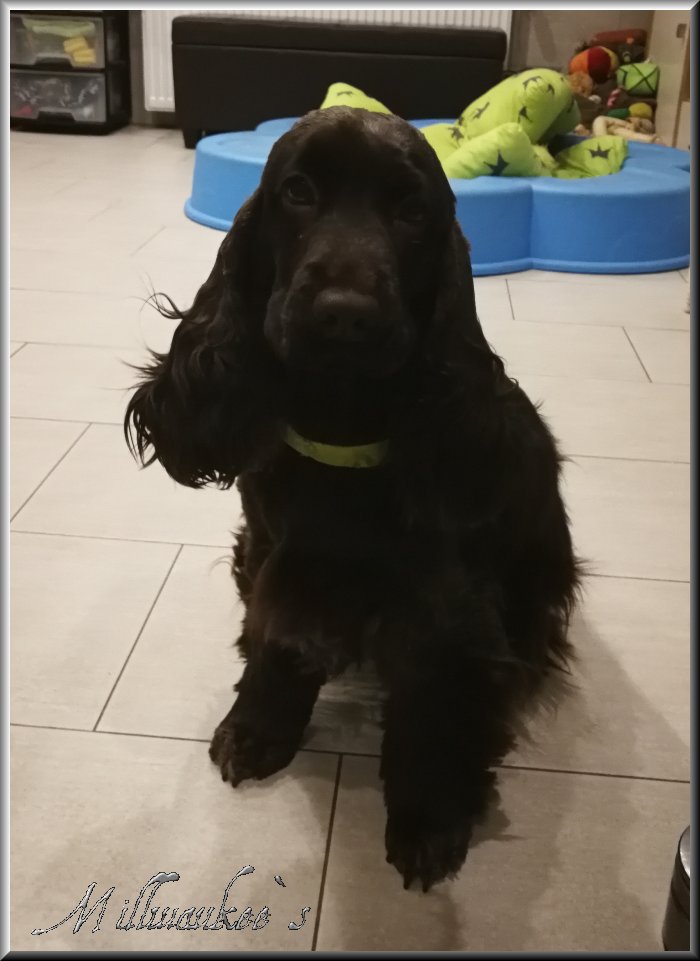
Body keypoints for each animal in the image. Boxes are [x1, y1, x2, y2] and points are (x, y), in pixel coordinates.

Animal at [125, 107, 580, 893]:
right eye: (298, 192)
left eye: (412, 211)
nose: (344, 313)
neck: (342, 430)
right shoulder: (270, 553)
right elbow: (274, 641)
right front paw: (257, 728)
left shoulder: (445, 603)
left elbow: (433, 702)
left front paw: (429, 817)